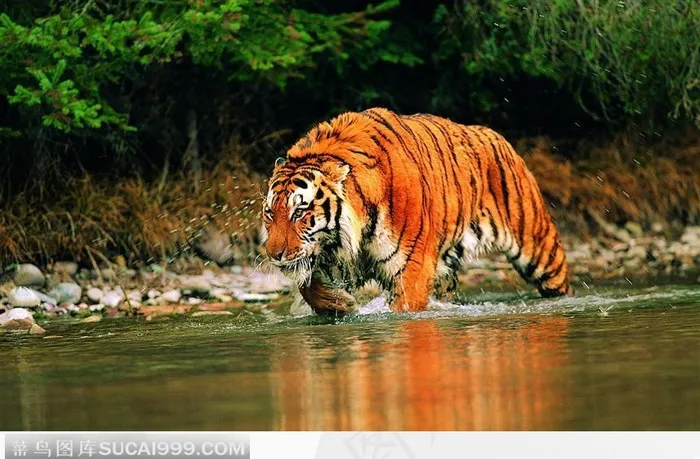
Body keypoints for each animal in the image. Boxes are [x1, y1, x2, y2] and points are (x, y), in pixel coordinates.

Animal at [261, 107, 573, 315]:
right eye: (270, 214)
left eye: (299, 212)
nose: (274, 255)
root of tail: (494, 134)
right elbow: (307, 285)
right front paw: (340, 304)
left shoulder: (412, 268)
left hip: (540, 249)